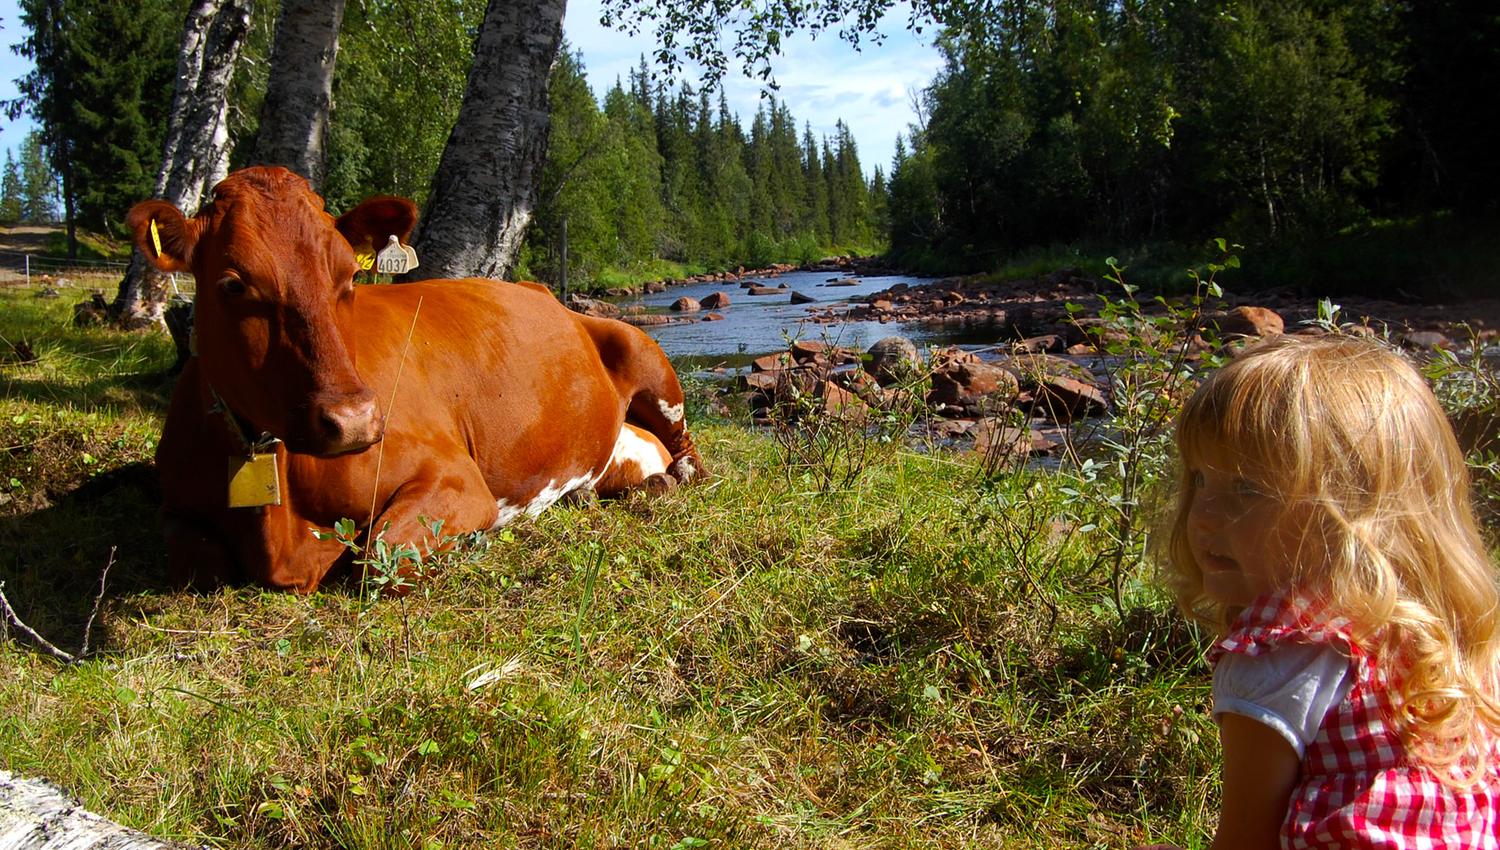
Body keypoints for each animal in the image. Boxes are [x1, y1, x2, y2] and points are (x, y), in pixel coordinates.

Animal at [127, 166, 703, 593]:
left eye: (349, 277)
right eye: (231, 283)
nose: (354, 420)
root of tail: (543, 290)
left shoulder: (459, 480)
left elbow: (380, 557)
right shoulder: (175, 507)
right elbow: (199, 566)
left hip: (646, 356)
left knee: (689, 456)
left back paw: (667, 481)